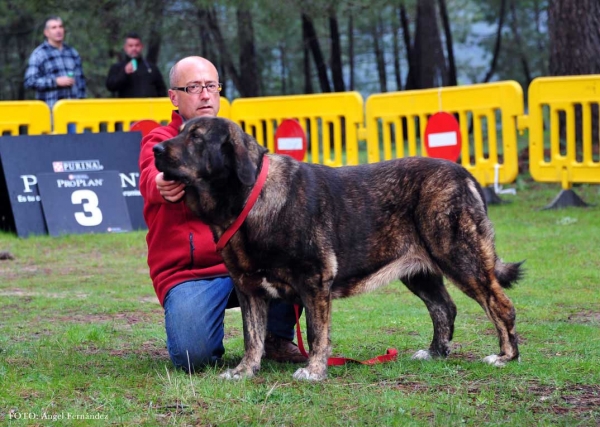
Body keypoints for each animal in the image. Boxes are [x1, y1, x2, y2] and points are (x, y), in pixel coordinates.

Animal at [156, 116, 524, 382]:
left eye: (197, 138)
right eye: (182, 132)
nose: (157, 149)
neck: (247, 201)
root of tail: (465, 175)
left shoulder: (314, 281)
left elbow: (316, 333)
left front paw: (314, 370)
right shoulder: (248, 288)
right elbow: (252, 336)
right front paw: (246, 370)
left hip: (460, 258)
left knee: (500, 306)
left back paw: (505, 356)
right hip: (420, 272)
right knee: (444, 309)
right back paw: (434, 352)